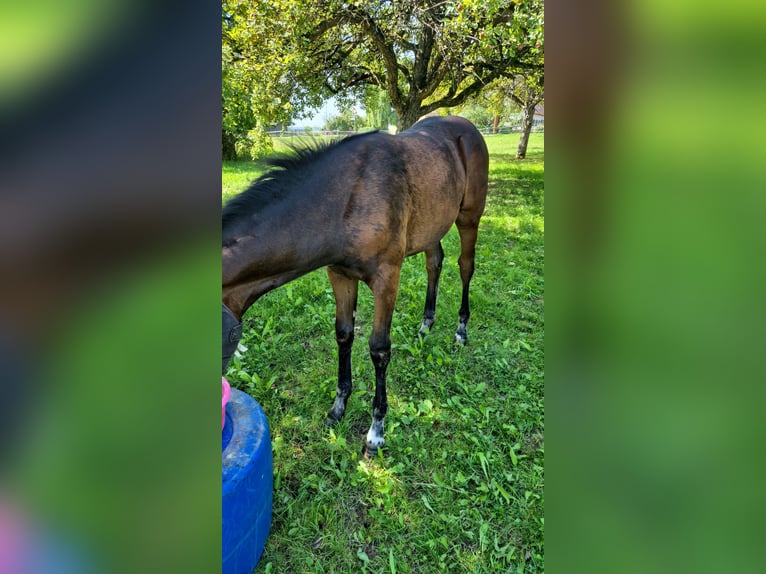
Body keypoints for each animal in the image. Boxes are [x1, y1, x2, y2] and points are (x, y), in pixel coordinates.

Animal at [222, 115, 489, 456]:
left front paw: (376, 431)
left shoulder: (387, 277)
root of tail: (466, 126)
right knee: (435, 262)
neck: (346, 199)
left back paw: (461, 329)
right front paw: (338, 408)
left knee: (465, 267)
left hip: (469, 218)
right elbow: (344, 335)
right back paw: (426, 324)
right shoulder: (339, 274)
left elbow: (379, 348)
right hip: (432, 225)